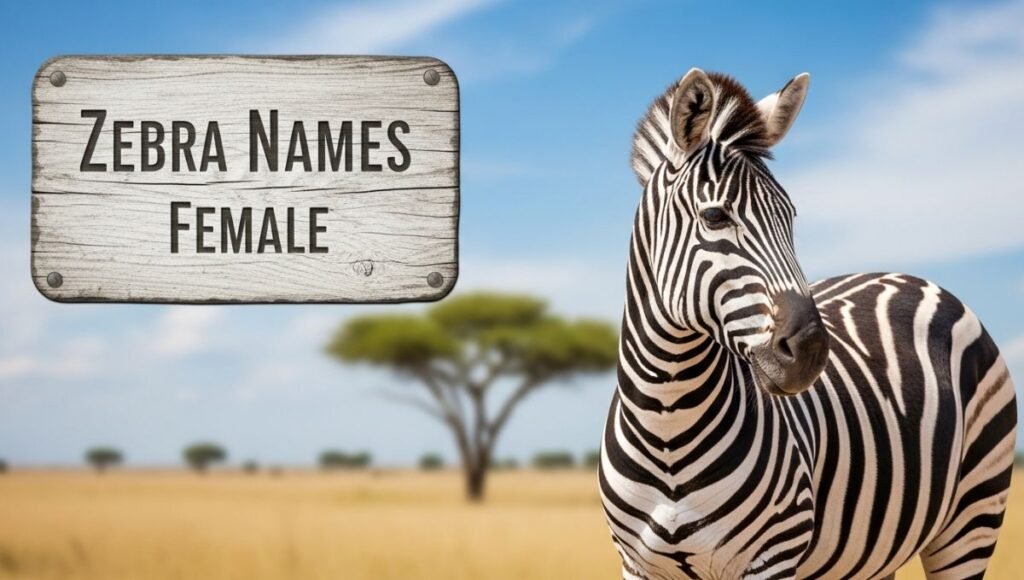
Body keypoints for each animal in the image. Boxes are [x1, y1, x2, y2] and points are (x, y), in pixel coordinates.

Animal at [599, 68, 1017, 579]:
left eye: (790, 216)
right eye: (715, 216)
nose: (812, 352)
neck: (668, 427)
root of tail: (912, 277)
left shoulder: (774, 555)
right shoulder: (637, 564)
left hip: (974, 513)